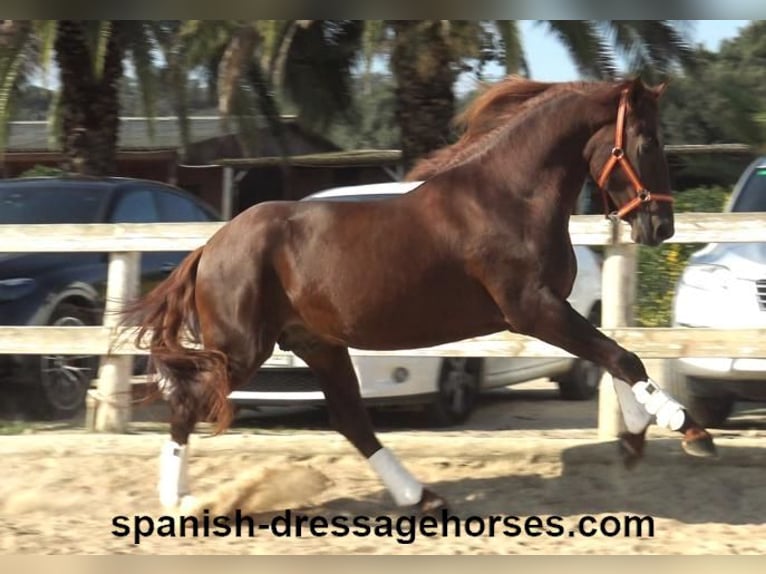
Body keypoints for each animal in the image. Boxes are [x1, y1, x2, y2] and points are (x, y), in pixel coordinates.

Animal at [126, 77, 720, 516]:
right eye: (648, 141)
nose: (661, 226)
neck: (509, 197)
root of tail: (210, 246)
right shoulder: (531, 309)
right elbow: (622, 355)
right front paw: (688, 429)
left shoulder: (550, 310)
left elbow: (613, 355)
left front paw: (637, 437)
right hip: (243, 349)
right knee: (188, 404)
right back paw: (178, 502)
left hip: (316, 344)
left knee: (351, 421)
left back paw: (421, 496)